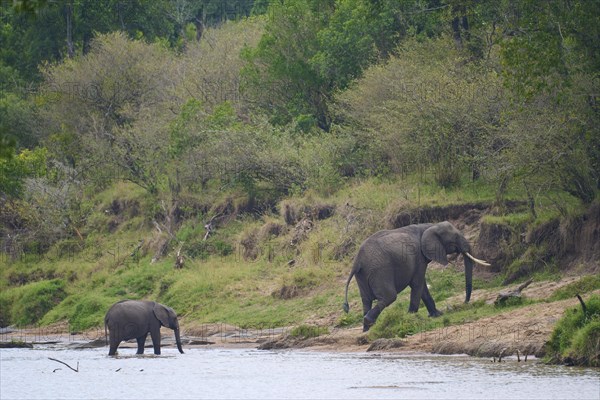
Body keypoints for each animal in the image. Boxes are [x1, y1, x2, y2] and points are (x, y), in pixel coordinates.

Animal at [344, 222, 490, 332]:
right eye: (455, 237)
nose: (465, 303)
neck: (430, 226)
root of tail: (357, 261)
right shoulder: (419, 257)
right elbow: (417, 284)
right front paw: (410, 318)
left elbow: (422, 286)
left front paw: (437, 315)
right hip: (379, 269)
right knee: (389, 297)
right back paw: (369, 323)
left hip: (363, 274)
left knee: (366, 300)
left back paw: (366, 329)